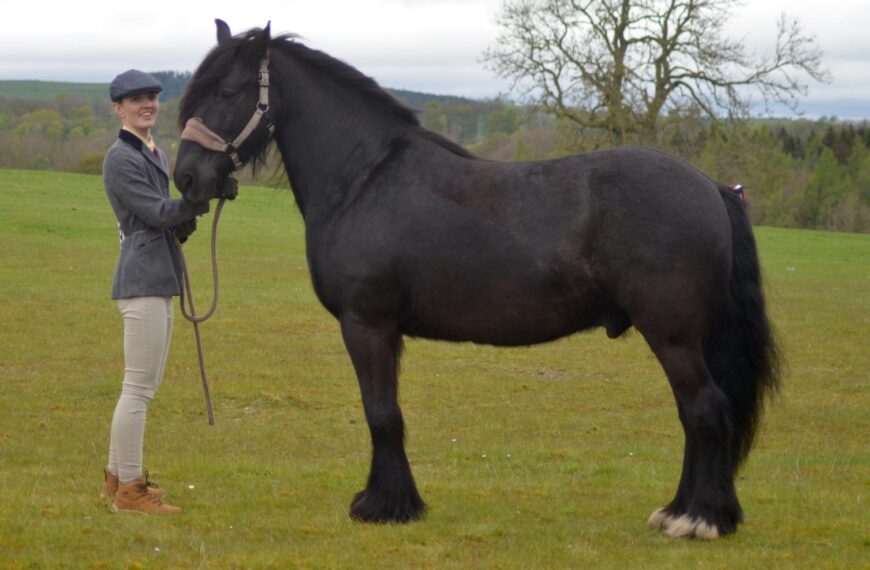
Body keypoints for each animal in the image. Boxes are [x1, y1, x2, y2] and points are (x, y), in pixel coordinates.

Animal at [173, 20, 779, 539]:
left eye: (227, 91)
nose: (186, 178)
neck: (365, 179)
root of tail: (711, 188)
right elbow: (387, 414)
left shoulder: (367, 325)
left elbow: (381, 414)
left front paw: (383, 506)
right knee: (694, 415)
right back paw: (680, 511)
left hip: (672, 335)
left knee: (705, 410)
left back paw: (700, 520)